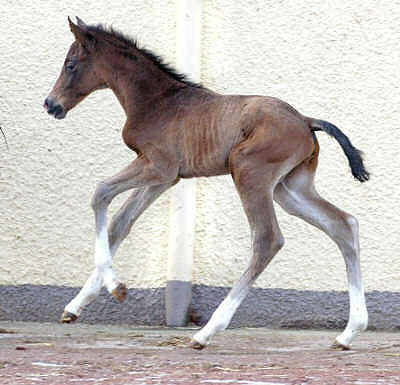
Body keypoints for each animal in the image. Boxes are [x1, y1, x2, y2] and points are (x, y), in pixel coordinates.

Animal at [43, 17, 368, 348]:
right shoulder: (166, 178)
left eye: (70, 64)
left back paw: (206, 331)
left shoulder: (158, 166)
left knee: (267, 238)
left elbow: (101, 192)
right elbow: (121, 223)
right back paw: (349, 332)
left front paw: (115, 286)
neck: (157, 101)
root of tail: (305, 119)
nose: (50, 105)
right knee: (343, 224)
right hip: (289, 188)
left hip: (249, 173)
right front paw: (77, 305)